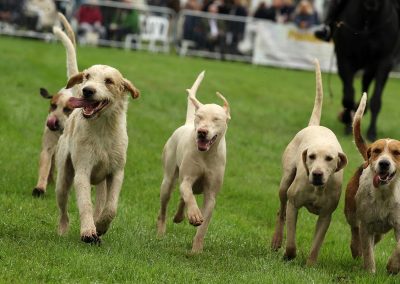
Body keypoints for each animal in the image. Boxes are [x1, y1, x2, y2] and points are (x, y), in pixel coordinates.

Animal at [32, 12, 78, 196]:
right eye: (52, 105)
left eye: (67, 109)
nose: (53, 122)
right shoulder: (48, 147)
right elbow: (45, 165)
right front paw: (40, 187)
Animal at [334, 0, 400, 141]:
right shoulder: (344, 60)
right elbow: (348, 95)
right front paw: (347, 122)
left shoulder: (384, 62)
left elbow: (376, 99)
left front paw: (372, 132)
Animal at [346, 92, 400, 272]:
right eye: (377, 151)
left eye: (396, 153)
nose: (384, 163)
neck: (385, 193)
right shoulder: (366, 225)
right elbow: (368, 252)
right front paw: (370, 272)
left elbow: (399, 249)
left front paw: (393, 266)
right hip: (352, 214)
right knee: (355, 233)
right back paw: (356, 249)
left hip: (380, 231)